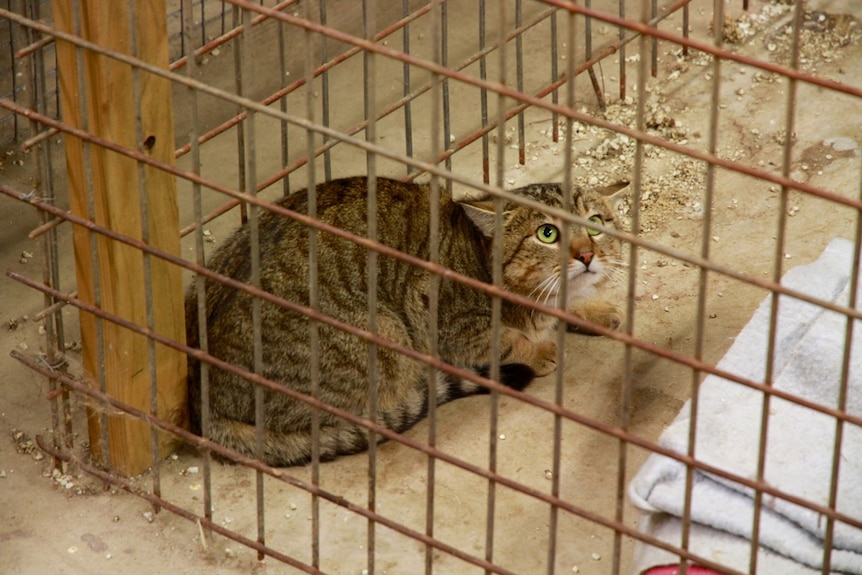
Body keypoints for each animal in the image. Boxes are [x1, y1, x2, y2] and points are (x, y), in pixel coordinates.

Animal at [186, 177, 624, 468]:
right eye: (547, 233)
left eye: (595, 223)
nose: (587, 255)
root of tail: (202, 397)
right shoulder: (439, 316)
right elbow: (507, 340)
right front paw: (540, 348)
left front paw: (596, 311)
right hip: (385, 332)